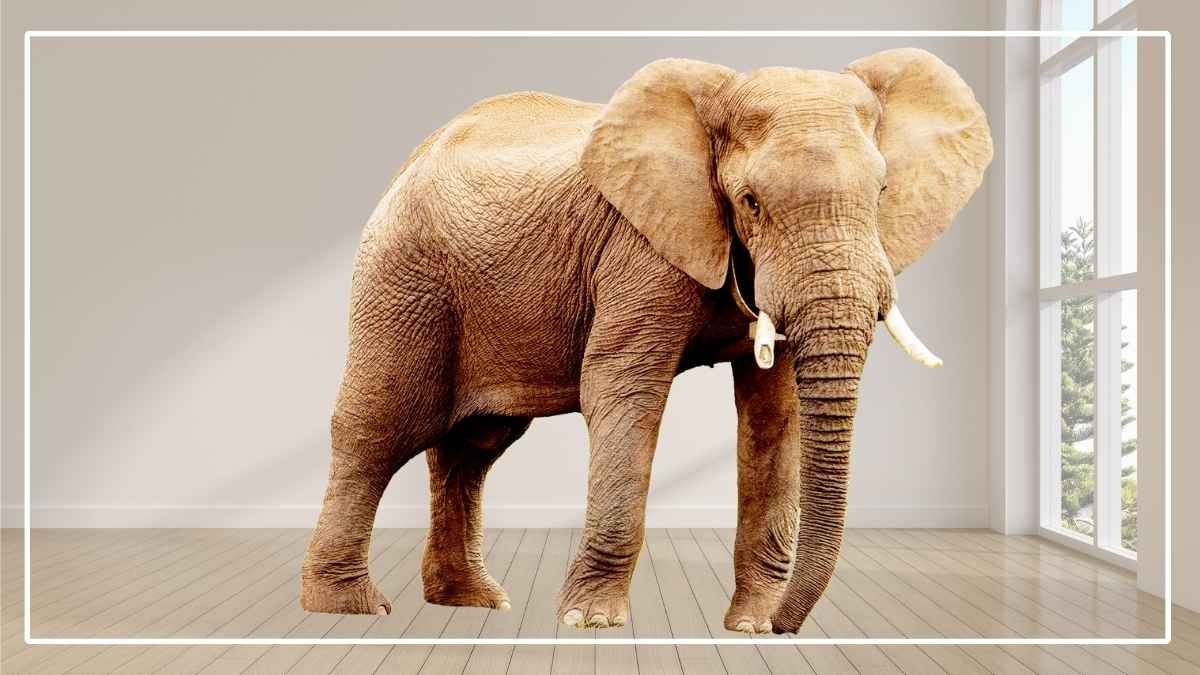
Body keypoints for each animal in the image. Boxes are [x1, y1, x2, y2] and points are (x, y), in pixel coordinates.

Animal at [299, 47, 991, 634]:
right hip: (402, 276)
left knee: (474, 446)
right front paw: (589, 624)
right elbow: (622, 388)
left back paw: (472, 601)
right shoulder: (638, 248)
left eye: (882, 193)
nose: (787, 628)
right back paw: (349, 607)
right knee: (380, 427)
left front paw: (749, 627)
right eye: (750, 202)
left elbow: (776, 412)